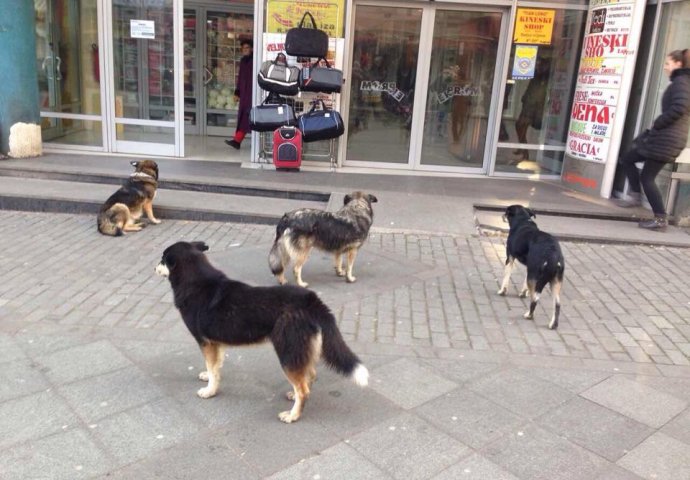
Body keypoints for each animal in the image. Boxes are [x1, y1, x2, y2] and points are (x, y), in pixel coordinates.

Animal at [155, 242, 368, 422]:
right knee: (310, 376)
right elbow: (215, 366)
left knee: (304, 390)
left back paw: (293, 415)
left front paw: (209, 391)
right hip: (299, 350)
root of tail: (311, 301)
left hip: (287, 353)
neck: (196, 282)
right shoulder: (216, 343)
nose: (154, 268)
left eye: (162, 259)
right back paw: (293, 397)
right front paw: (208, 377)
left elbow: (212, 368)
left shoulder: (205, 342)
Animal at [498, 202, 560, 330]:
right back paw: (553, 324)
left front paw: (502, 291)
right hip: (554, 282)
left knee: (535, 299)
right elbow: (524, 284)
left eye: (506, 212)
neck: (523, 220)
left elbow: (506, 277)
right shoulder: (530, 268)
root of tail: (553, 255)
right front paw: (523, 293)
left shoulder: (509, 258)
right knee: (557, 305)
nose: (502, 215)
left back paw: (529, 315)